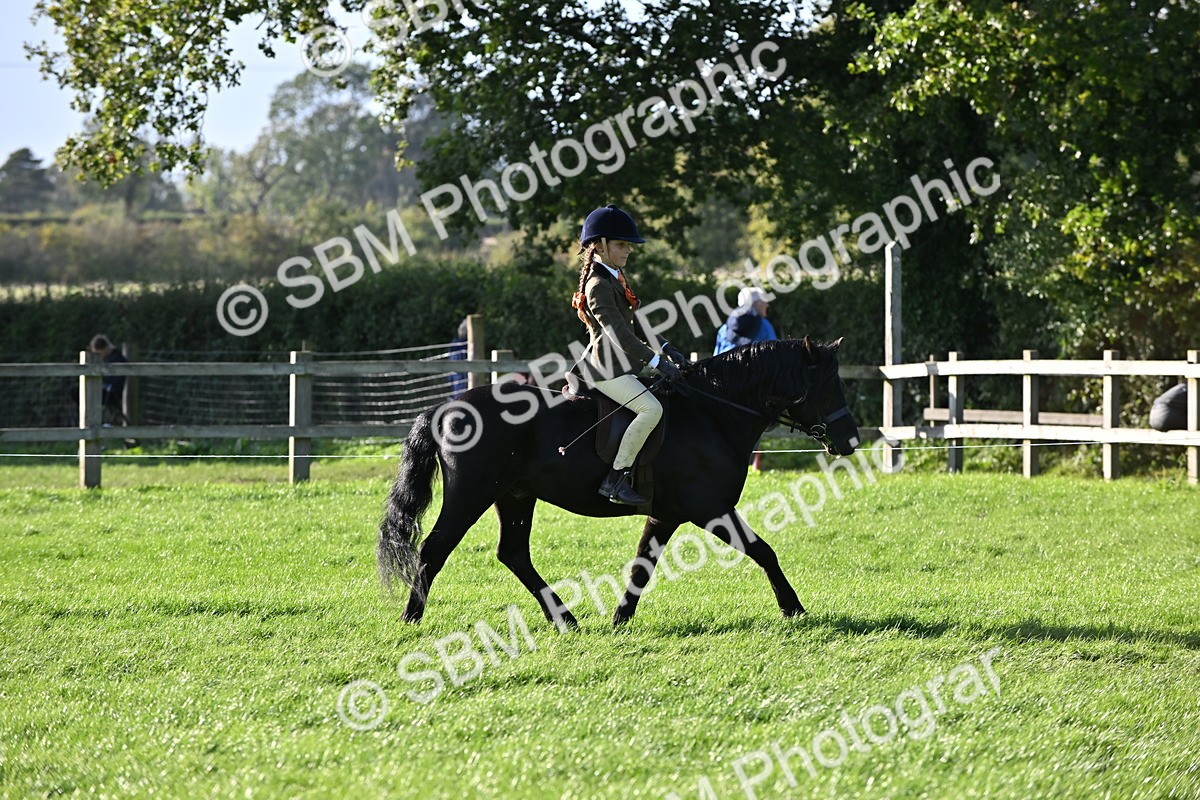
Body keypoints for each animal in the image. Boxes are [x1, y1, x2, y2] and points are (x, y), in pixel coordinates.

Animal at [377, 336, 860, 628]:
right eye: (828, 387)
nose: (850, 441)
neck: (712, 413)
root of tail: (444, 409)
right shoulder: (711, 509)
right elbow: (764, 551)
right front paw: (793, 608)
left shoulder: (667, 516)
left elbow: (642, 566)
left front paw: (620, 619)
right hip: (471, 495)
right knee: (435, 549)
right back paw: (410, 618)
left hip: (514, 496)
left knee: (513, 553)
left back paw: (565, 618)